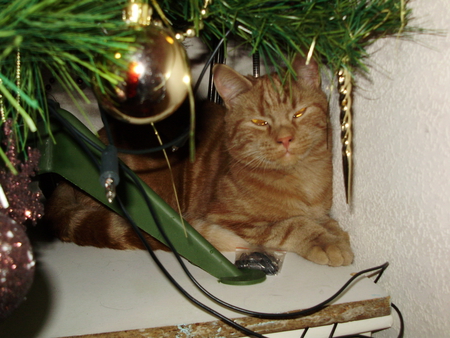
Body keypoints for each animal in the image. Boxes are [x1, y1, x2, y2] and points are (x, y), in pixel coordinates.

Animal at [46, 56, 356, 266]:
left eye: (299, 113)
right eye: (260, 122)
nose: (285, 139)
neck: (303, 179)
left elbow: (320, 219)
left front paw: (334, 231)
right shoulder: (229, 220)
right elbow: (291, 224)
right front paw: (325, 241)